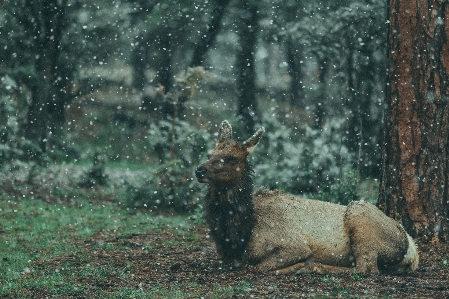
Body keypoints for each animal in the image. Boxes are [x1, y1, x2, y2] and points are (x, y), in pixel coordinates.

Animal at [194, 120, 418, 276]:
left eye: (232, 158)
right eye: (209, 154)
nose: (199, 170)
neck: (240, 234)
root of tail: (412, 251)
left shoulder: (295, 244)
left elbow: (259, 266)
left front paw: (299, 265)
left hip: (359, 214)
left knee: (367, 268)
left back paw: (311, 267)